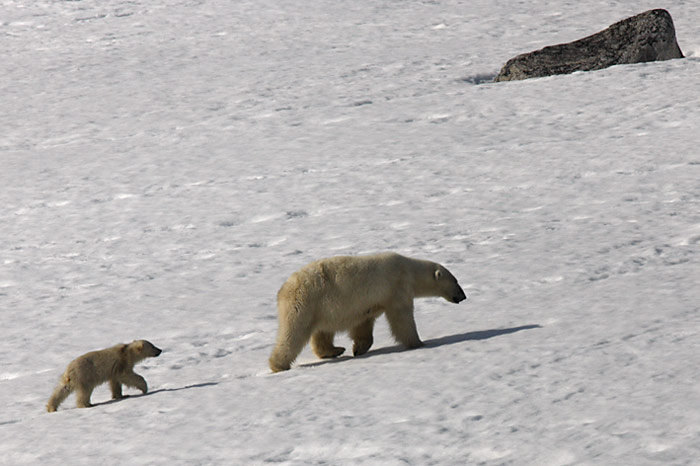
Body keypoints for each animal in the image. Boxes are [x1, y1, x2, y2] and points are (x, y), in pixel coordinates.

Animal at [270, 253, 468, 374]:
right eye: (456, 281)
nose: (463, 296)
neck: (409, 269)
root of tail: (283, 290)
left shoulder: (369, 305)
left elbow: (363, 325)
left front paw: (358, 348)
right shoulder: (397, 287)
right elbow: (401, 318)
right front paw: (419, 343)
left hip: (321, 309)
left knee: (322, 333)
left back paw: (335, 350)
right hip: (306, 303)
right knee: (293, 333)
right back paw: (279, 365)